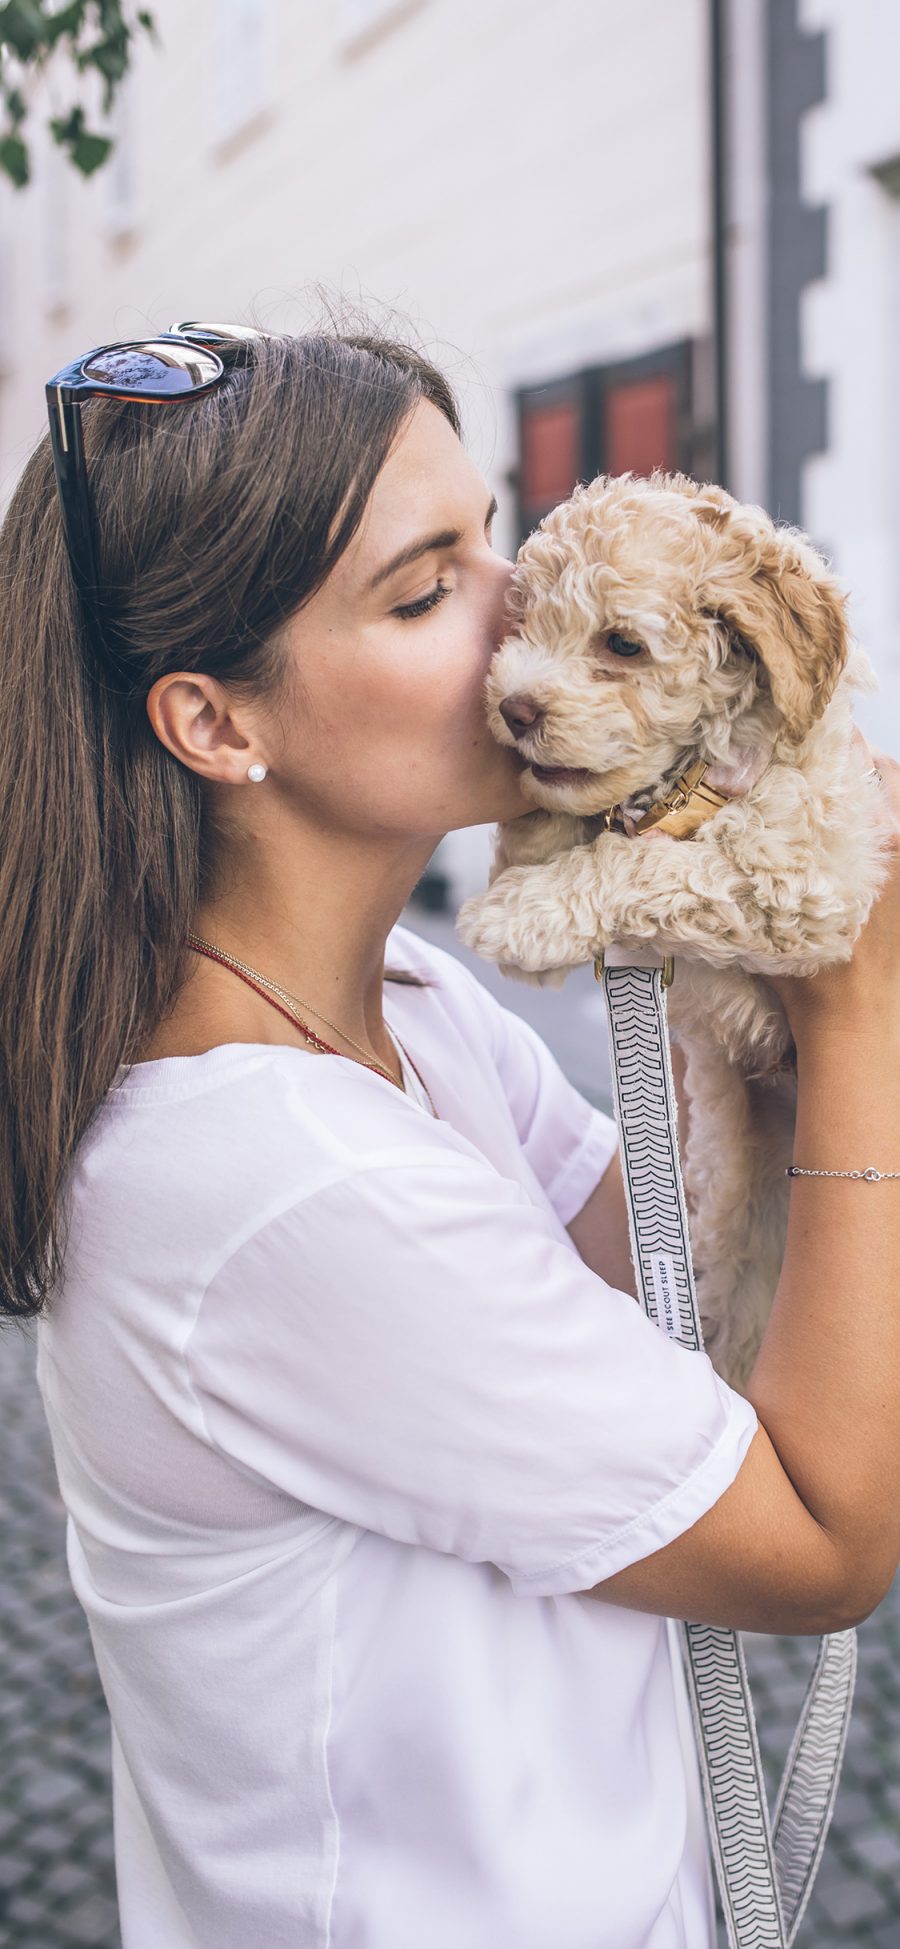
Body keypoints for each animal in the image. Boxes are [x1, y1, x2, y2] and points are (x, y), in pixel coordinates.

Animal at [457, 469, 892, 1387]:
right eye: (523, 621)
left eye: (622, 644)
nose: (512, 708)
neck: (691, 778)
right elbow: (561, 832)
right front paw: (532, 848)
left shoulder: (802, 873)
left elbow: (645, 865)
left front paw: (516, 911)